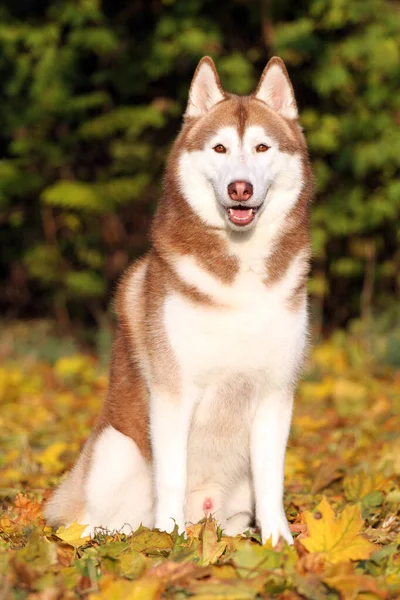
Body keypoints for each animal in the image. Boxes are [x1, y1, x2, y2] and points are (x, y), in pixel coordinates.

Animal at [44, 55, 312, 544]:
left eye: (262, 148)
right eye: (220, 149)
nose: (240, 188)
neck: (238, 273)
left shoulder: (276, 393)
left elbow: (272, 480)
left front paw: (279, 544)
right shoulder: (172, 394)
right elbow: (171, 475)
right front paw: (169, 544)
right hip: (114, 450)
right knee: (95, 523)